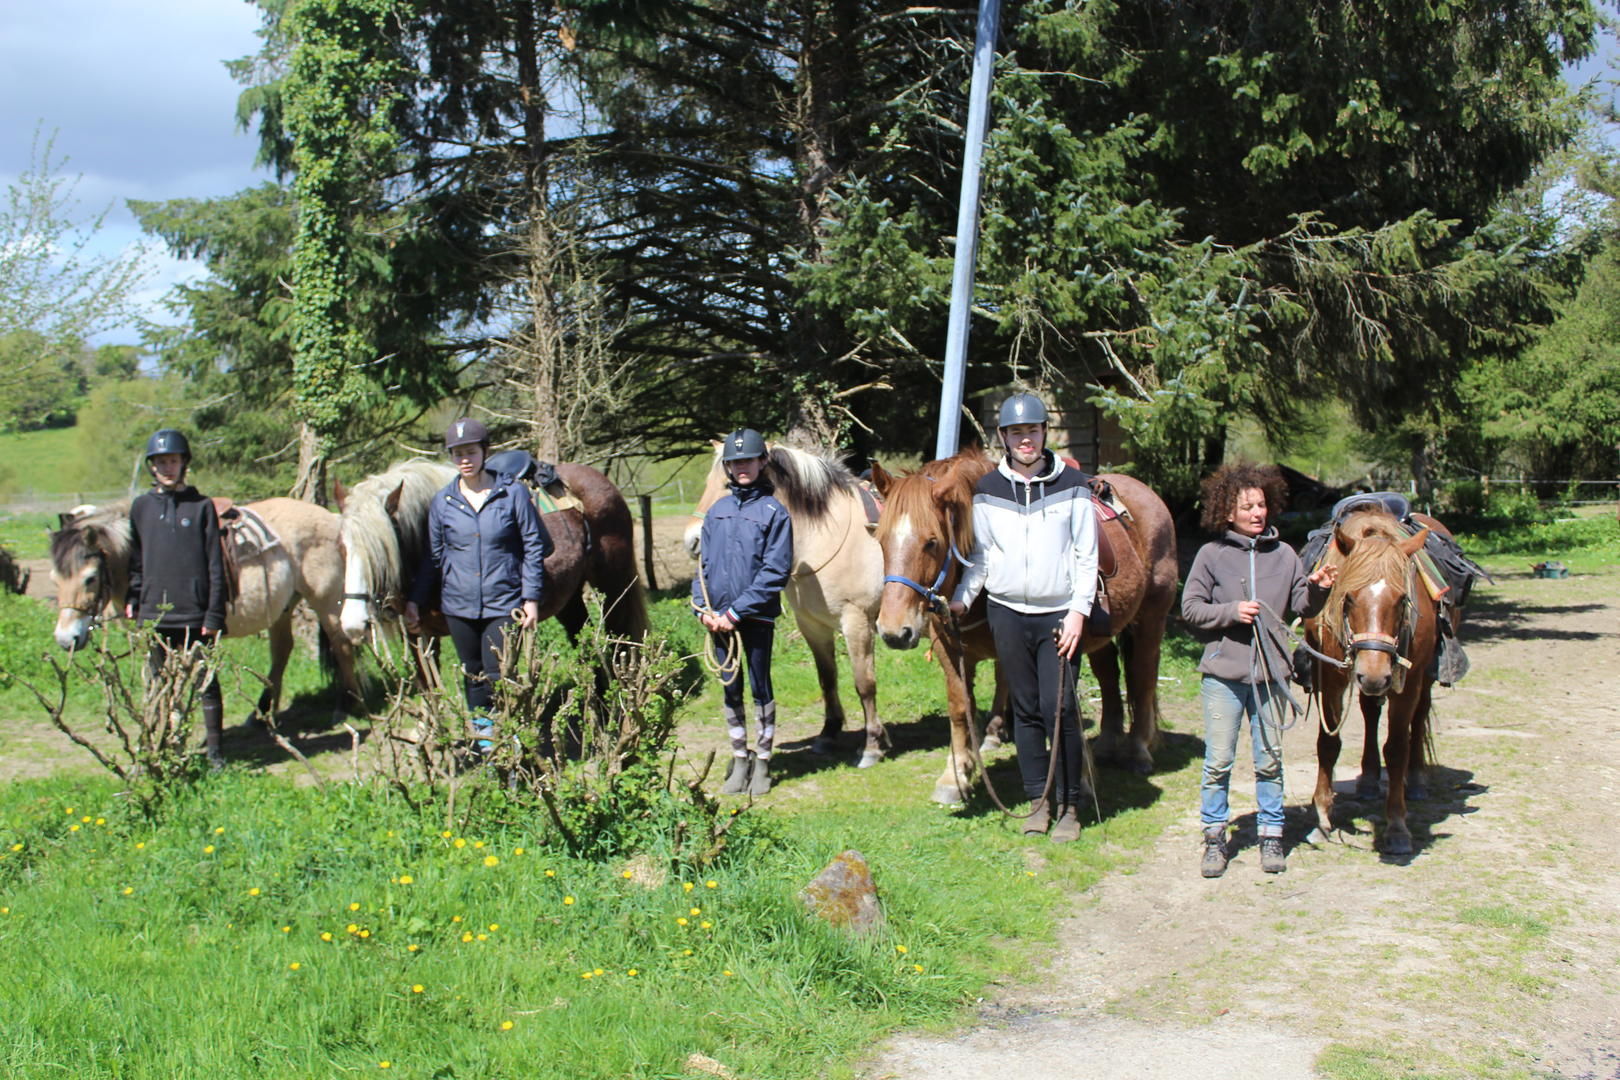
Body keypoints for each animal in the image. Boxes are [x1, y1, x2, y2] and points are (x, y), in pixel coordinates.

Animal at [683, 440, 887, 767]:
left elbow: (864, 683)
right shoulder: (812, 625)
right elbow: (827, 678)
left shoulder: (857, 622)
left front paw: (871, 746)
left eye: (728, 485)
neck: (828, 538)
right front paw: (828, 734)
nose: (691, 541)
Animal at [874, 446, 1179, 803]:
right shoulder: (952, 650)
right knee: (1108, 677)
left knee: (1143, 675)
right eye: (880, 540)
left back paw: (1139, 751)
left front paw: (1079, 779)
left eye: (931, 542)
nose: (894, 632)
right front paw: (955, 777)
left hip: (1151, 619)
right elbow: (961, 708)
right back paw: (1106, 745)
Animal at [1302, 511, 1445, 854]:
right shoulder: (1330, 676)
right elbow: (1328, 744)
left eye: (1403, 598)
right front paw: (1322, 819)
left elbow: (1396, 748)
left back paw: (1416, 780)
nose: (1375, 675)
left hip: (1422, 676)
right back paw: (1367, 779)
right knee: (1370, 711)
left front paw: (1396, 826)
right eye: (1349, 598)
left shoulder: (1407, 682)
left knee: (1419, 717)